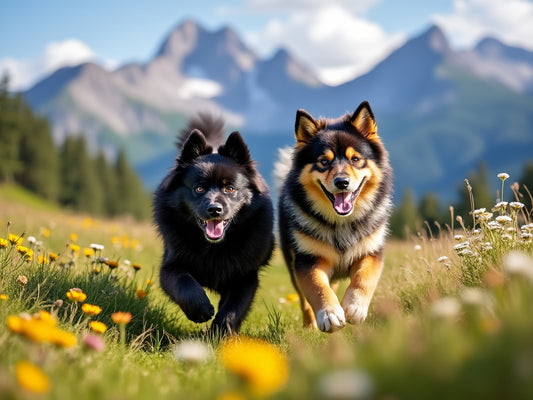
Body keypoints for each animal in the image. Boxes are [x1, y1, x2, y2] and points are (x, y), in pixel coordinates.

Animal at [152, 114, 272, 336]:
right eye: (199, 188)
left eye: (230, 188)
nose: (215, 209)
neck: (213, 248)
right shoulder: (171, 266)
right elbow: (184, 283)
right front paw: (200, 309)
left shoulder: (246, 276)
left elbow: (234, 307)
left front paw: (221, 332)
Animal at [274, 101, 390, 332]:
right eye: (323, 162)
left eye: (355, 159)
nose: (342, 182)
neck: (341, 223)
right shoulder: (307, 259)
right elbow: (317, 286)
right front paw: (329, 314)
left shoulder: (371, 251)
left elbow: (364, 278)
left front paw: (354, 307)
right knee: (304, 300)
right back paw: (310, 325)